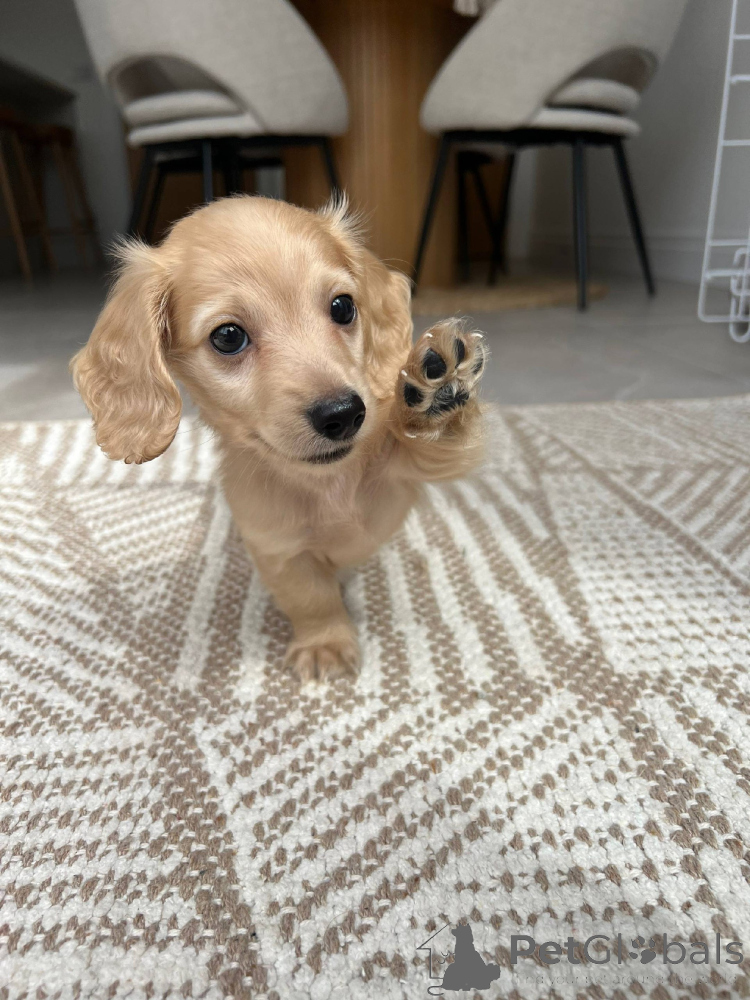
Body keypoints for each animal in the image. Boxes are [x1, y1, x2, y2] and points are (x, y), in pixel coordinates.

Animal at [71, 195, 486, 681]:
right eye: (228, 336)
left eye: (343, 307)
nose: (344, 415)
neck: (327, 484)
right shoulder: (279, 550)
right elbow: (312, 599)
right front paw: (326, 643)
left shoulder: (404, 473)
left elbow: (433, 446)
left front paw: (438, 394)